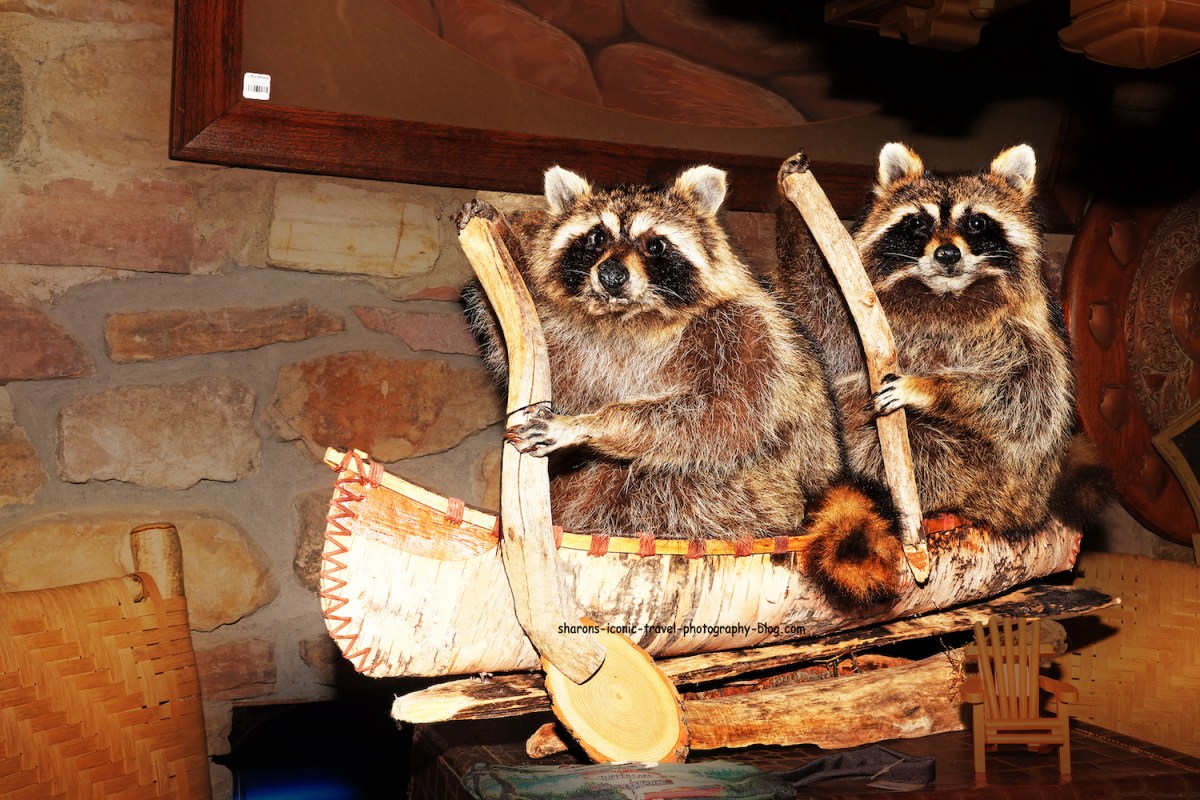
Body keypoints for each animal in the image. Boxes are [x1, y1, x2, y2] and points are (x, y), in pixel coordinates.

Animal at [464, 165, 901, 604]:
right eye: (597, 237)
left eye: (655, 245)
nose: (611, 275)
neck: (631, 317)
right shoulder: (580, 341)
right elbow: (548, 362)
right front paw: (504, 242)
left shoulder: (746, 333)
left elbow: (722, 419)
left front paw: (589, 425)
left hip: (763, 497)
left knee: (657, 486)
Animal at [777, 143, 1086, 537]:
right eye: (918, 223)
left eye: (976, 222)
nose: (947, 254)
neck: (944, 292)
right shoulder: (862, 313)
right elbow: (825, 326)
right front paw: (791, 210)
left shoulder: (1032, 327)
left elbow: (1028, 398)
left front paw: (926, 386)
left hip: (988, 479)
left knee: (929, 448)